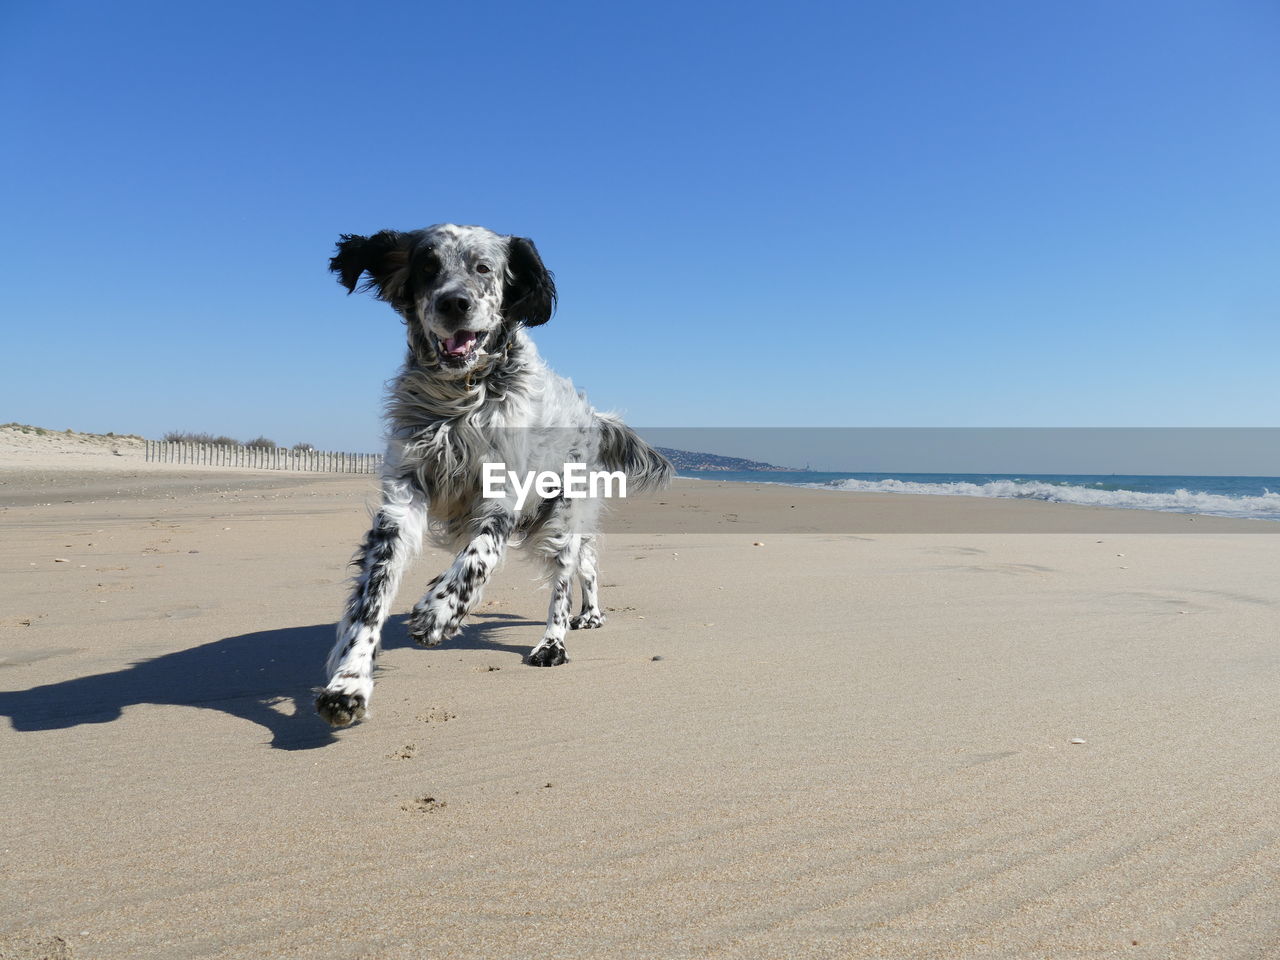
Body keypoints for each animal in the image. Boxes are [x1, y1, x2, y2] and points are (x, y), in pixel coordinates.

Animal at [313, 221, 670, 727]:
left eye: (484, 268)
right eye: (427, 266)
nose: (453, 303)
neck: (458, 401)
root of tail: (592, 415)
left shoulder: (503, 495)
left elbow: (478, 556)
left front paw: (439, 612)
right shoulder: (403, 498)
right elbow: (371, 600)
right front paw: (349, 683)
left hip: (561, 518)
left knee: (568, 577)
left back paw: (556, 639)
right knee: (586, 565)